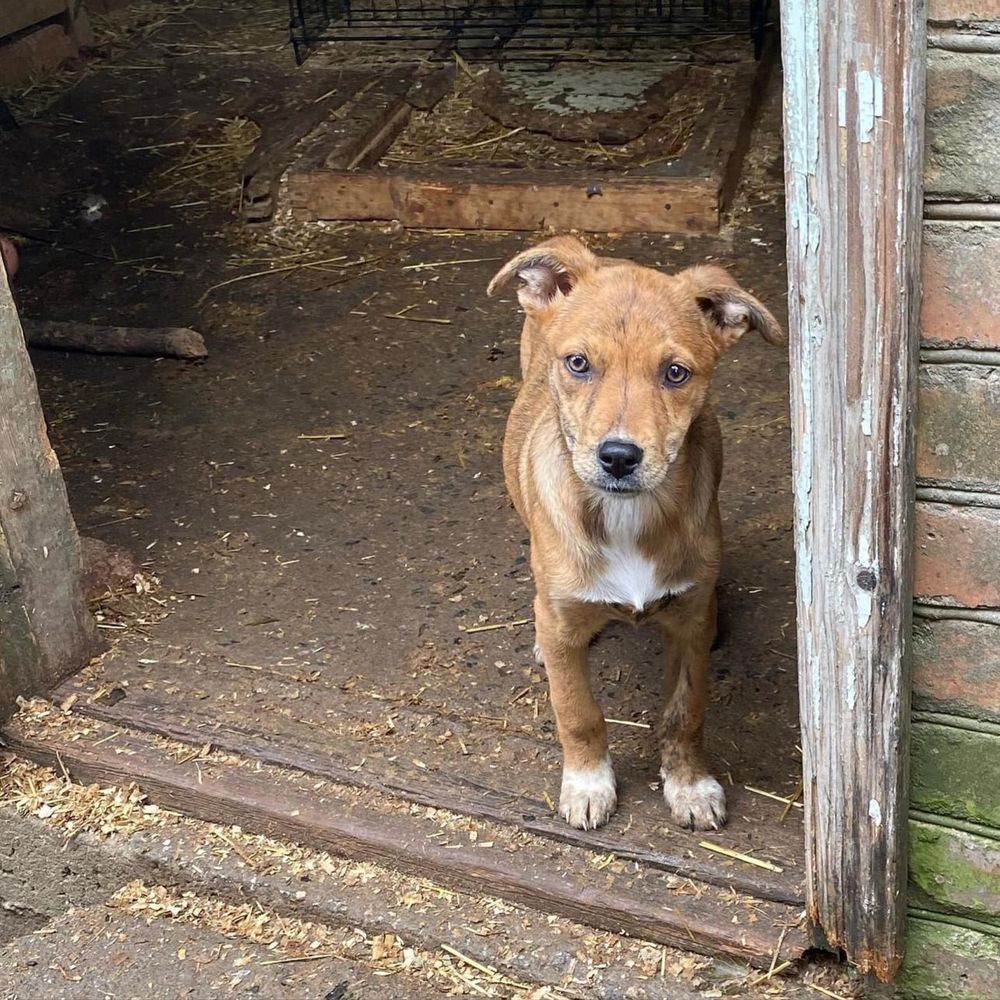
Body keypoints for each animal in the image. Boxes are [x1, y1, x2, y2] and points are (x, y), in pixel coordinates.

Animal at [488, 234, 784, 828]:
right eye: (579, 363)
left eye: (676, 373)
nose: (620, 457)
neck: (624, 517)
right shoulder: (563, 617)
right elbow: (577, 710)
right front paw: (587, 784)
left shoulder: (689, 621)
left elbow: (685, 710)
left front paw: (689, 786)